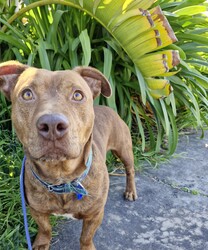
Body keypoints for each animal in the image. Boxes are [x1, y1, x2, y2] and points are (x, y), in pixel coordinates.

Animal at [0, 61, 137, 250]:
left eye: (77, 95)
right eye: (27, 94)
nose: (52, 124)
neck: (61, 177)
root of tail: (108, 108)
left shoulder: (95, 214)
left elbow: (86, 236)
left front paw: (87, 246)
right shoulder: (37, 210)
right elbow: (45, 228)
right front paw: (42, 242)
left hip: (124, 150)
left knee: (130, 170)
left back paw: (130, 190)